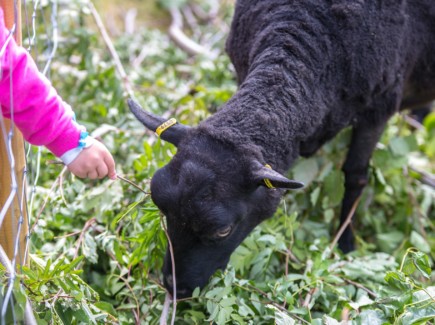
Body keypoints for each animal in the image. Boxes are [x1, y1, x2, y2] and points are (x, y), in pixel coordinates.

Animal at [129, 0, 435, 298]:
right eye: (160, 207)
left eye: (223, 231)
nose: (174, 287)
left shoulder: (378, 108)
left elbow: (355, 175)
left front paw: (345, 246)